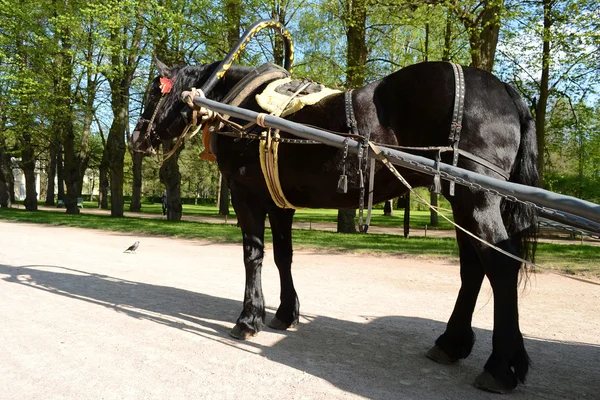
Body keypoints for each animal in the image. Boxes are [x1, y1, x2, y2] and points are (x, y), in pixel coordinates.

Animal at [132, 60, 540, 394]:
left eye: (153, 90)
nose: (136, 138)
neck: (241, 109)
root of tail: (503, 88)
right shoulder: (279, 205)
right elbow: (283, 257)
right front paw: (285, 313)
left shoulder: (246, 197)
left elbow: (253, 256)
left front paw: (249, 318)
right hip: (462, 202)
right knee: (473, 269)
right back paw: (452, 344)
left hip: (476, 199)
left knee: (500, 267)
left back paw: (501, 367)